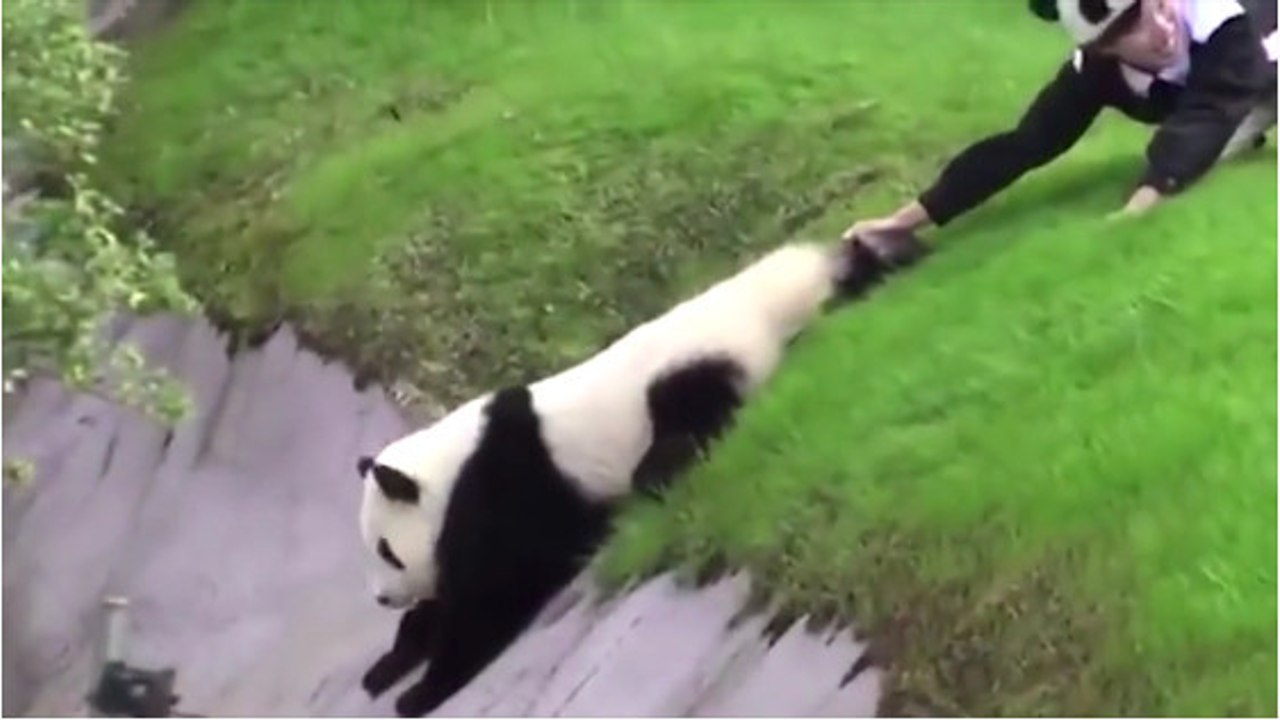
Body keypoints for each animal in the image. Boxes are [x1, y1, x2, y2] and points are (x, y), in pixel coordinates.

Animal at [355, 232, 926, 717]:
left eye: (387, 550)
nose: (382, 598)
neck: (447, 467)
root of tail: (765, 293)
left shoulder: (502, 487)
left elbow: (492, 594)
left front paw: (420, 690)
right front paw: (388, 663)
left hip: (688, 372)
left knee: (688, 423)